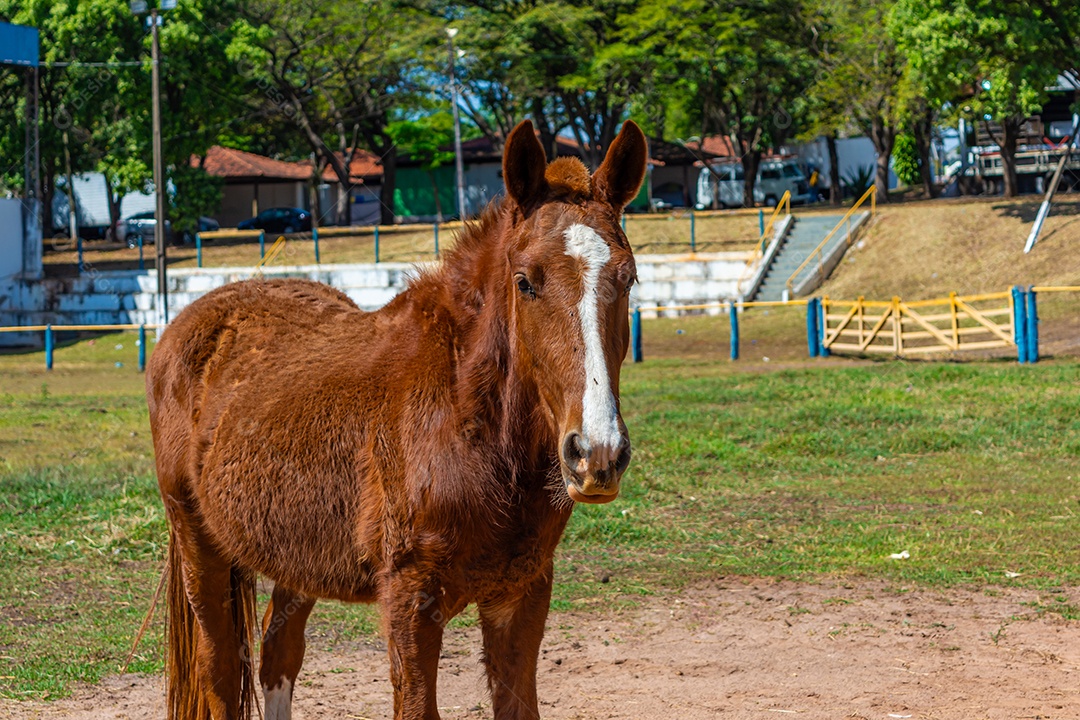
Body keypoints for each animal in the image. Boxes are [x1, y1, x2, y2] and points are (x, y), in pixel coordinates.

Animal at [145, 118, 648, 720]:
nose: (596, 454)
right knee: (220, 670)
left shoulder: (521, 594)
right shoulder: (411, 604)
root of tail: (185, 324)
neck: (464, 419)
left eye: (628, 279)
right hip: (199, 543)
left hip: (297, 557)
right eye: (526, 281)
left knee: (277, 653)